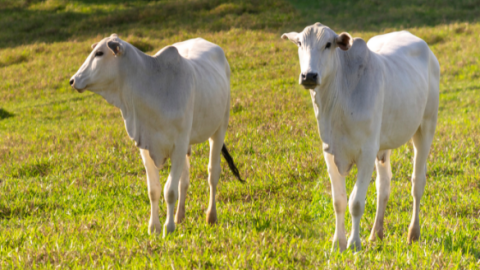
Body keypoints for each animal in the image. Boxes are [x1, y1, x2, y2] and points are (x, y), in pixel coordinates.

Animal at [70, 34, 244, 237]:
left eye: (99, 53)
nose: (73, 80)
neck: (153, 88)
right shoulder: (146, 147)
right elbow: (154, 190)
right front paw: (154, 227)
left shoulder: (179, 145)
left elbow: (170, 191)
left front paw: (168, 228)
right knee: (184, 179)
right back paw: (180, 215)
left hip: (220, 127)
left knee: (212, 173)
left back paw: (211, 216)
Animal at [282, 23, 438, 251]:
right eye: (300, 43)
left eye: (328, 44)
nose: (309, 76)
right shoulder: (330, 152)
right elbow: (338, 200)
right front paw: (337, 243)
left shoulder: (366, 153)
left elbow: (355, 202)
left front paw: (354, 244)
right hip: (383, 145)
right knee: (384, 185)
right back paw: (376, 233)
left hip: (426, 126)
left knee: (417, 182)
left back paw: (413, 233)